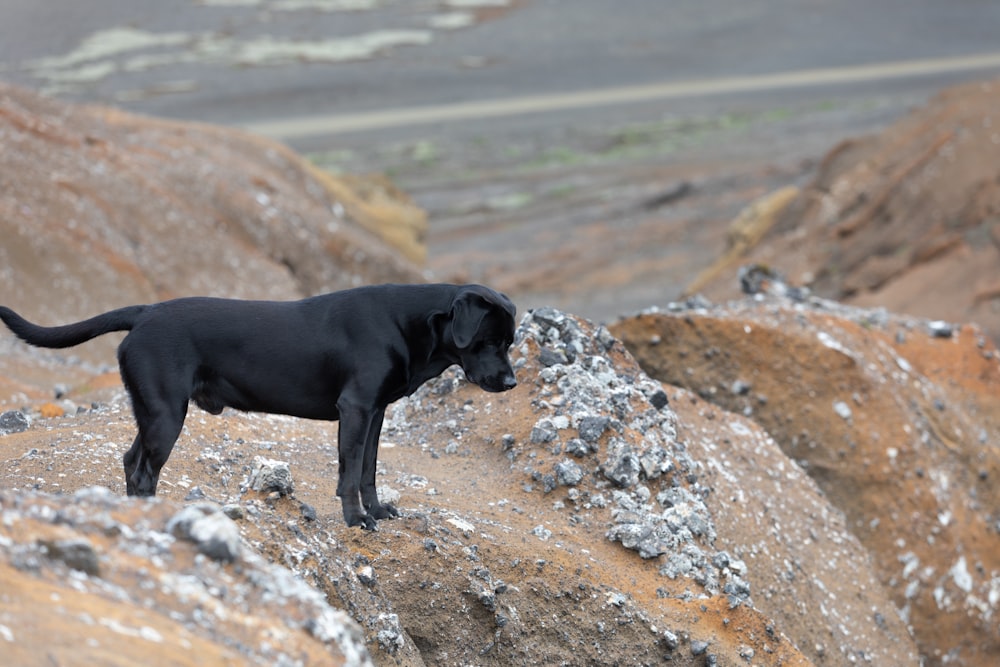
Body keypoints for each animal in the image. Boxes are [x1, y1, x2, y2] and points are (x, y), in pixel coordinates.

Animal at [0, 284, 516, 528]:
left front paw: (379, 510)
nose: (511, 381)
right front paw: (356, 520)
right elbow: (349, 474)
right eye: (489, 340)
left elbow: (369, 470)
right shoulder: (355, 408)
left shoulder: (376, 413)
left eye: (510, 342)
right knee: (143, 470)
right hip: (166, 414)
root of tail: (145, 312)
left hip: (153, 411)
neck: (406, 321)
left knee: (131, 461)